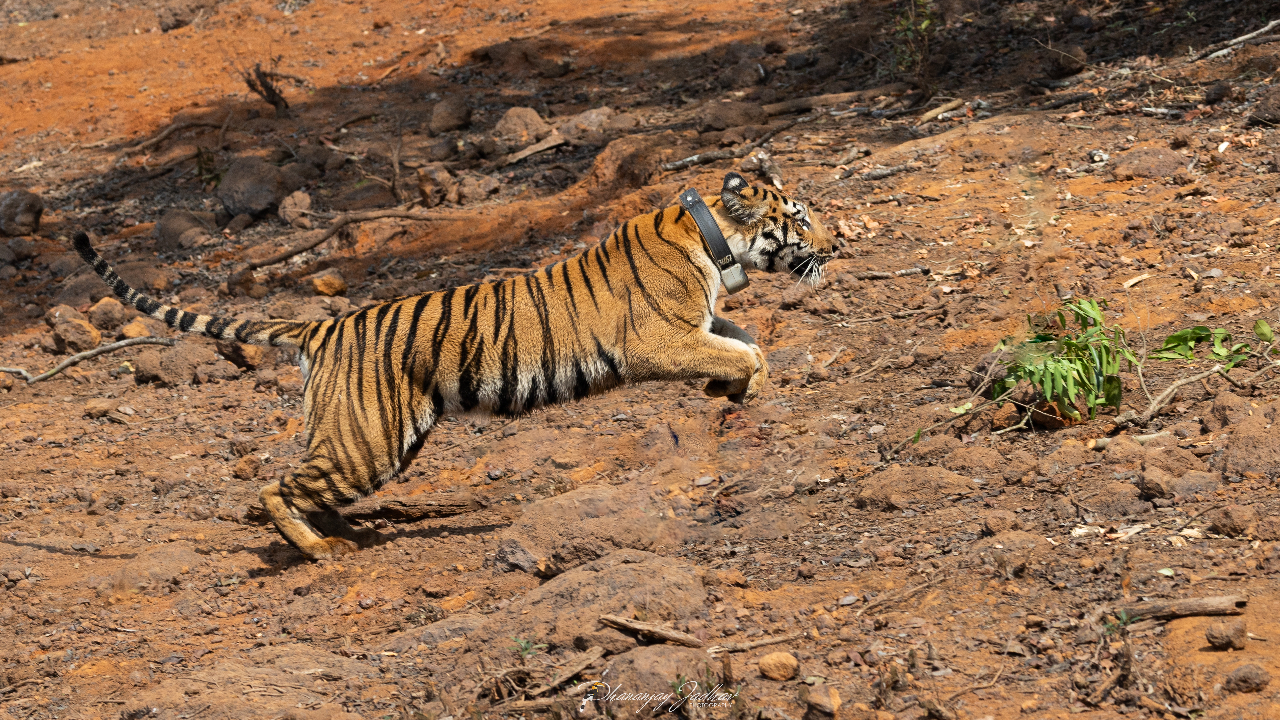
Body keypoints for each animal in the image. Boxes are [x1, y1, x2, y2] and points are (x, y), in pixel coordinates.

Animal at [73, 171, 834, 561]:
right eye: (799, 216)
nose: (838, 239)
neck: (713, 240)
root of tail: (322, 324)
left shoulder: (698, 324)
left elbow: (744, 339)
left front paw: (728, 385)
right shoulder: (658, 339)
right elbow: (745, 346)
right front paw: (736, 384)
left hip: (372, 437)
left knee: (307, 480)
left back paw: (342, 532)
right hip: (369, 441)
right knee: (275, 485)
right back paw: (321, 550)